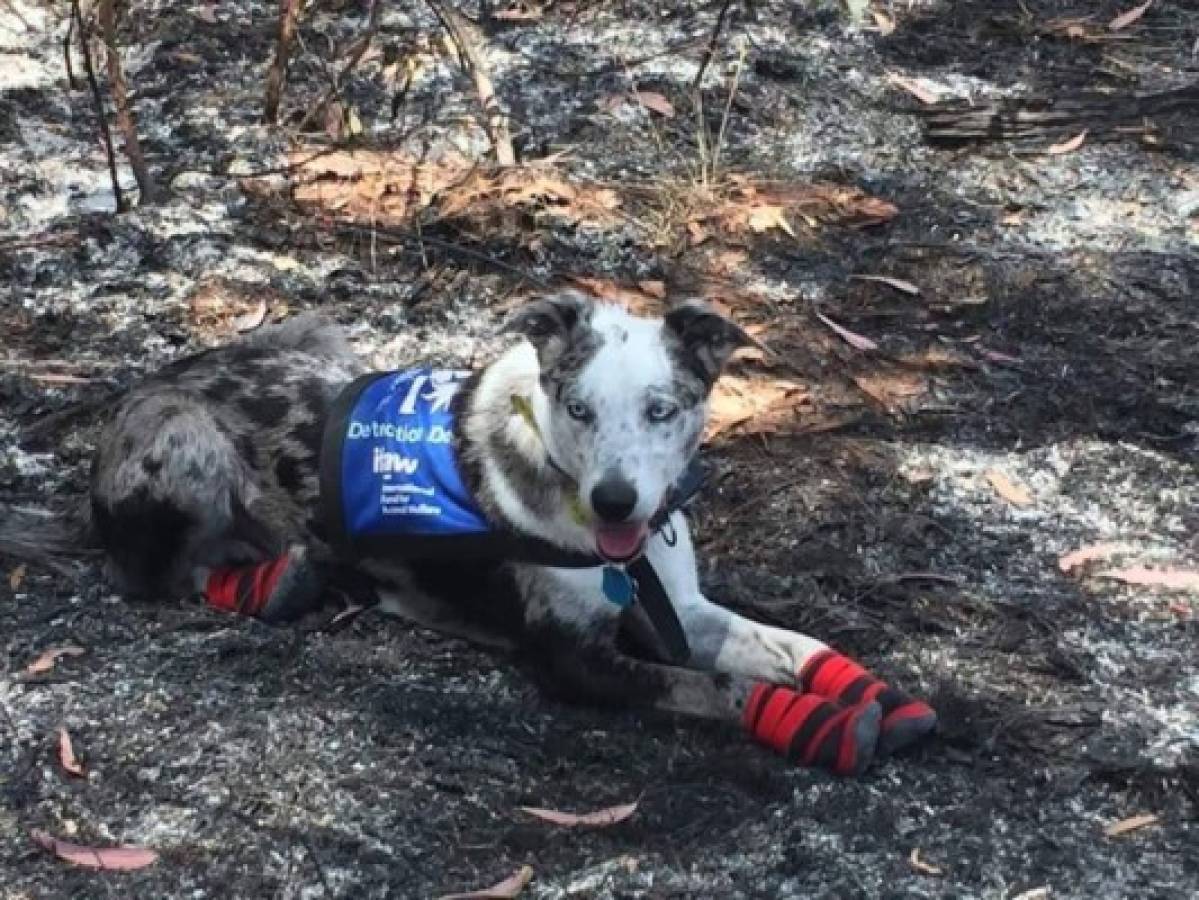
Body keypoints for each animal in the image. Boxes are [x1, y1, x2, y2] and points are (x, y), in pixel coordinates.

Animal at [2, 293, 935, 776]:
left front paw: (872, 695)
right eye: (577, 407)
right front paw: (817, 722)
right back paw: (284, 581)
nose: (614, 504)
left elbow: (786, 645)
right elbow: (718, 689)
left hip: (321, 333)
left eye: (661, 409)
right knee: (159, 574)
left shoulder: (682, 608)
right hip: (186, 441)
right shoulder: (573, 661)